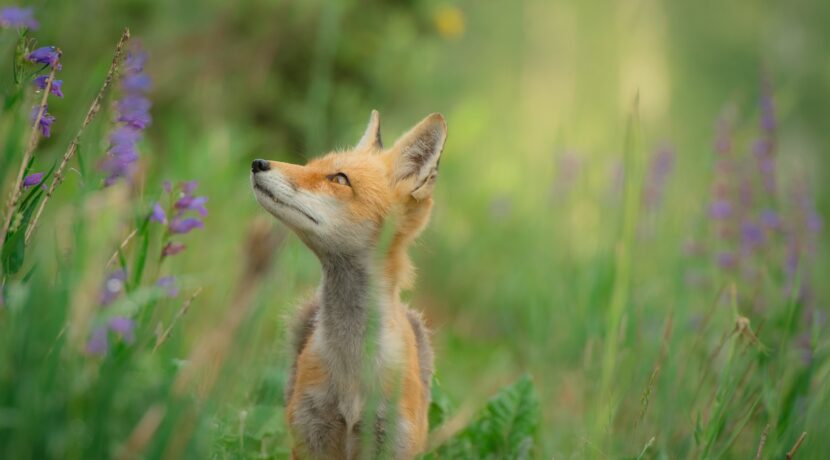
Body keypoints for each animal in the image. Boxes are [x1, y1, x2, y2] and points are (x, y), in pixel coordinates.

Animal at [250, 111, 446, 459]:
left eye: (339, 179)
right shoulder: (311, 433)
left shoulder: (393, 440)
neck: (352, 370)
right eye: (310, 165)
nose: (258, 163)